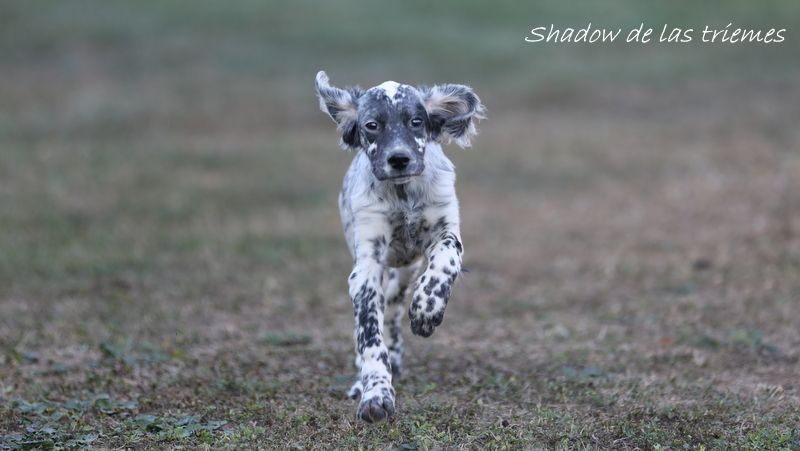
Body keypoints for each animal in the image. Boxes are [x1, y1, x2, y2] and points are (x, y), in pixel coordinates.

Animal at [316, 70, 484, 424]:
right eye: (372, 125)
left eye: (416, 121)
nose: (399, 159)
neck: (403, 195)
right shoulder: (367, 267)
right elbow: (369, 337)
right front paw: (376, 394)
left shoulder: (446, 232)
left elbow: (445, 263)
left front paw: (426, 310)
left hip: (405, 271)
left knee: (394, 308)